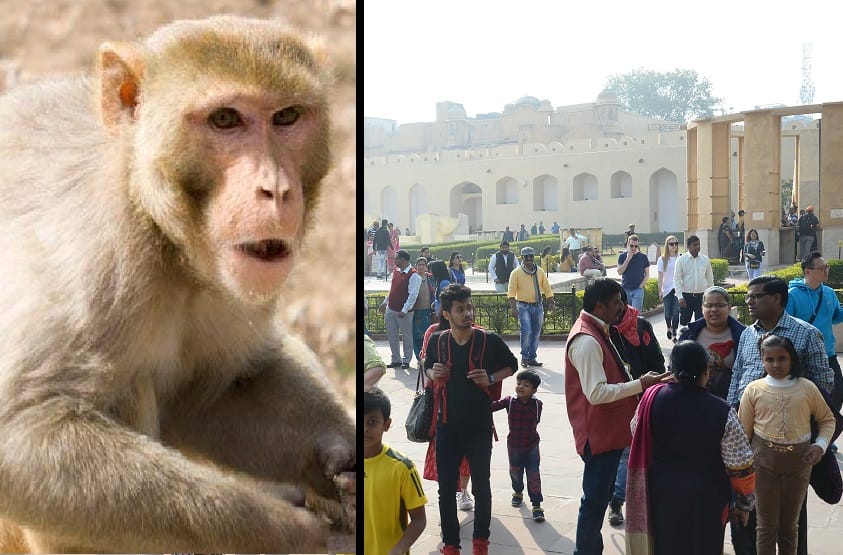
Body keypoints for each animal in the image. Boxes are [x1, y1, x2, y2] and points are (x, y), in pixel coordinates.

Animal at [0, 15, 354, 553]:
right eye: (225, 120)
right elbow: (23, 432)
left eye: (288, 116)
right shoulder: (94, 257)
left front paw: (340, 454)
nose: (276, 189)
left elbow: (220, 387)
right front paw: (285, 530)